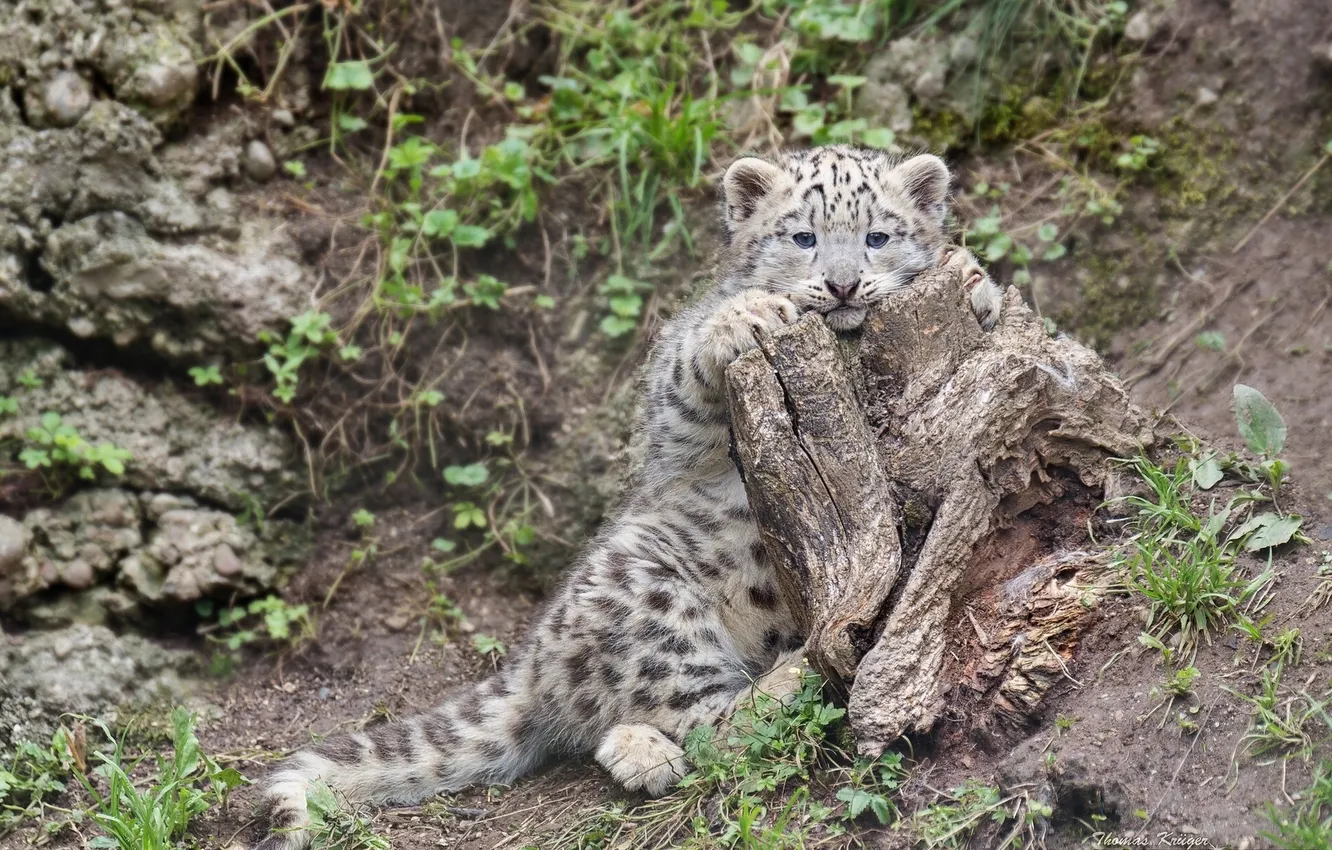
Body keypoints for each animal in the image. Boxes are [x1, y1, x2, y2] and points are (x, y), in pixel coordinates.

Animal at [255, 145, 1003, 849]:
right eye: (802, 237)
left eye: (878, 236)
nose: (843, 284)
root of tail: (532, 659)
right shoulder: (679, 427)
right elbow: (684, 369)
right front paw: (747, 316)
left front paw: (975, 284)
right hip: (647, 594)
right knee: (702, 718)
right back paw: (778, 682)